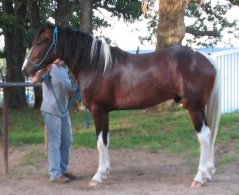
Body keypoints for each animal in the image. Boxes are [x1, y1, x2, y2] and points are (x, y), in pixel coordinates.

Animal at [22, 22, 220, 187]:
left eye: (41, 41)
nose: (26, 69)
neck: (96, 66)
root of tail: (206, 58)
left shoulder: (98, 111)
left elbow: (100, 143)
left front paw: (98, 177)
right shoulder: (106, 112)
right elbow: (106, 141)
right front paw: (105, 172)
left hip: (194, 108)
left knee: (204, 137)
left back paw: (199, 178)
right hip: (201, 107)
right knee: (210, 135)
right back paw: (209, 172)